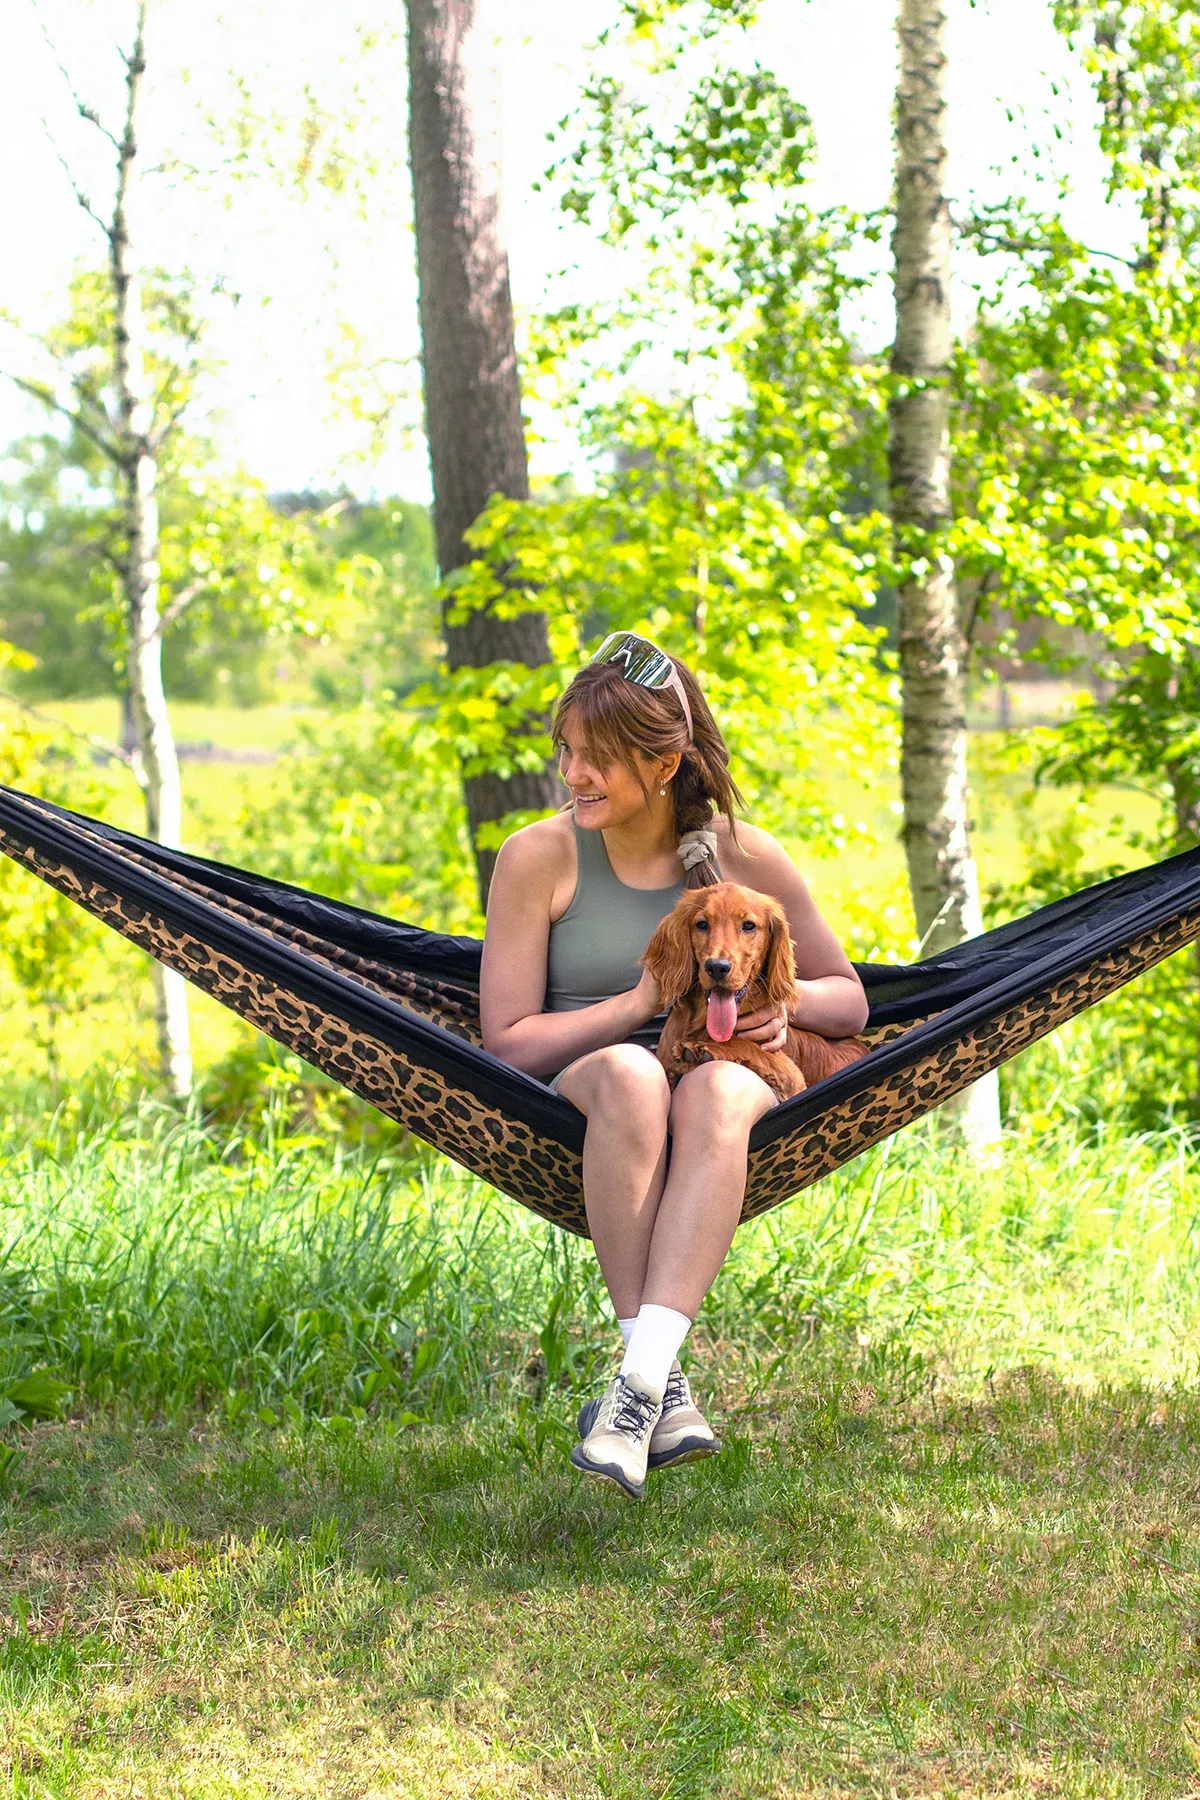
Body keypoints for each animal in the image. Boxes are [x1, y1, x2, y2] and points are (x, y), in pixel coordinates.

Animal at [644, 882, 867, 1094]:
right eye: (702, 924)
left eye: (749, 925)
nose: (717, 967)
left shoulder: (793, 1077)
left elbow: (751, 1046)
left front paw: (701, 1049)